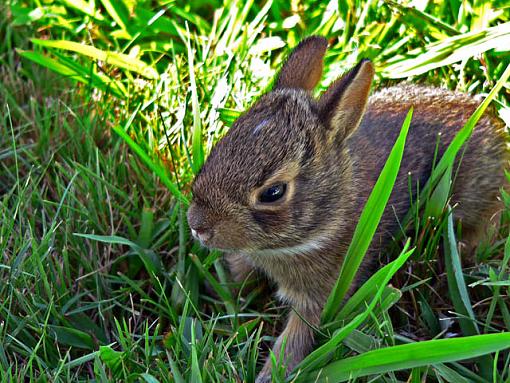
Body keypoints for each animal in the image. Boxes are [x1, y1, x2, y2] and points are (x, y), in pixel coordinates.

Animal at [185, 35, 508, 380]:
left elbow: (296, 340)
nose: (198, 225)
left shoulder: (320, 298)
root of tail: (494, 126)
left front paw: (270, 374)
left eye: (273, 192)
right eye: (220, 146)